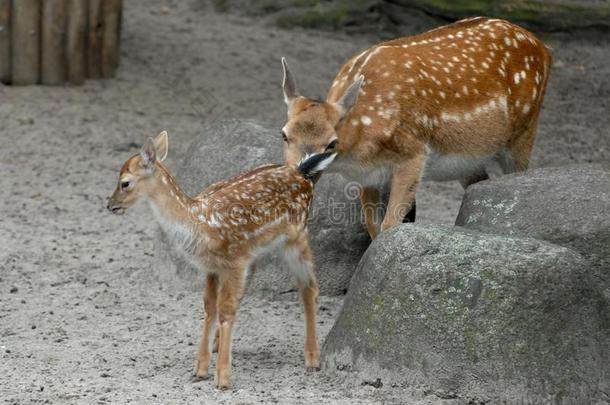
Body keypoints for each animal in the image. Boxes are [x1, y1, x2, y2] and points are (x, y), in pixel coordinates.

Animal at [108, 131, 338, 386]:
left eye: (125, 182)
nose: (110, 205)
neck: (200, 224)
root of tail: (302, 173)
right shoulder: (214, 267)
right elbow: (210, 308)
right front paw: (200, 369)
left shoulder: (234, 260)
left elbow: (226, 309)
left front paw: (223, 377)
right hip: (256, 253)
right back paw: (219, 344)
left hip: (296, 238)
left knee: (309, 288)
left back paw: (312, 358)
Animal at [280, 16, 552, 237]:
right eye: (284, 135)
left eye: (331, 143)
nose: (296, 176)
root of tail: (544, 48)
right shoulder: (368, 175)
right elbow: (372, 226)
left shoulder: (415, 152)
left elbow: (389, 226)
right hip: (469, 161)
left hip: (525, 129)